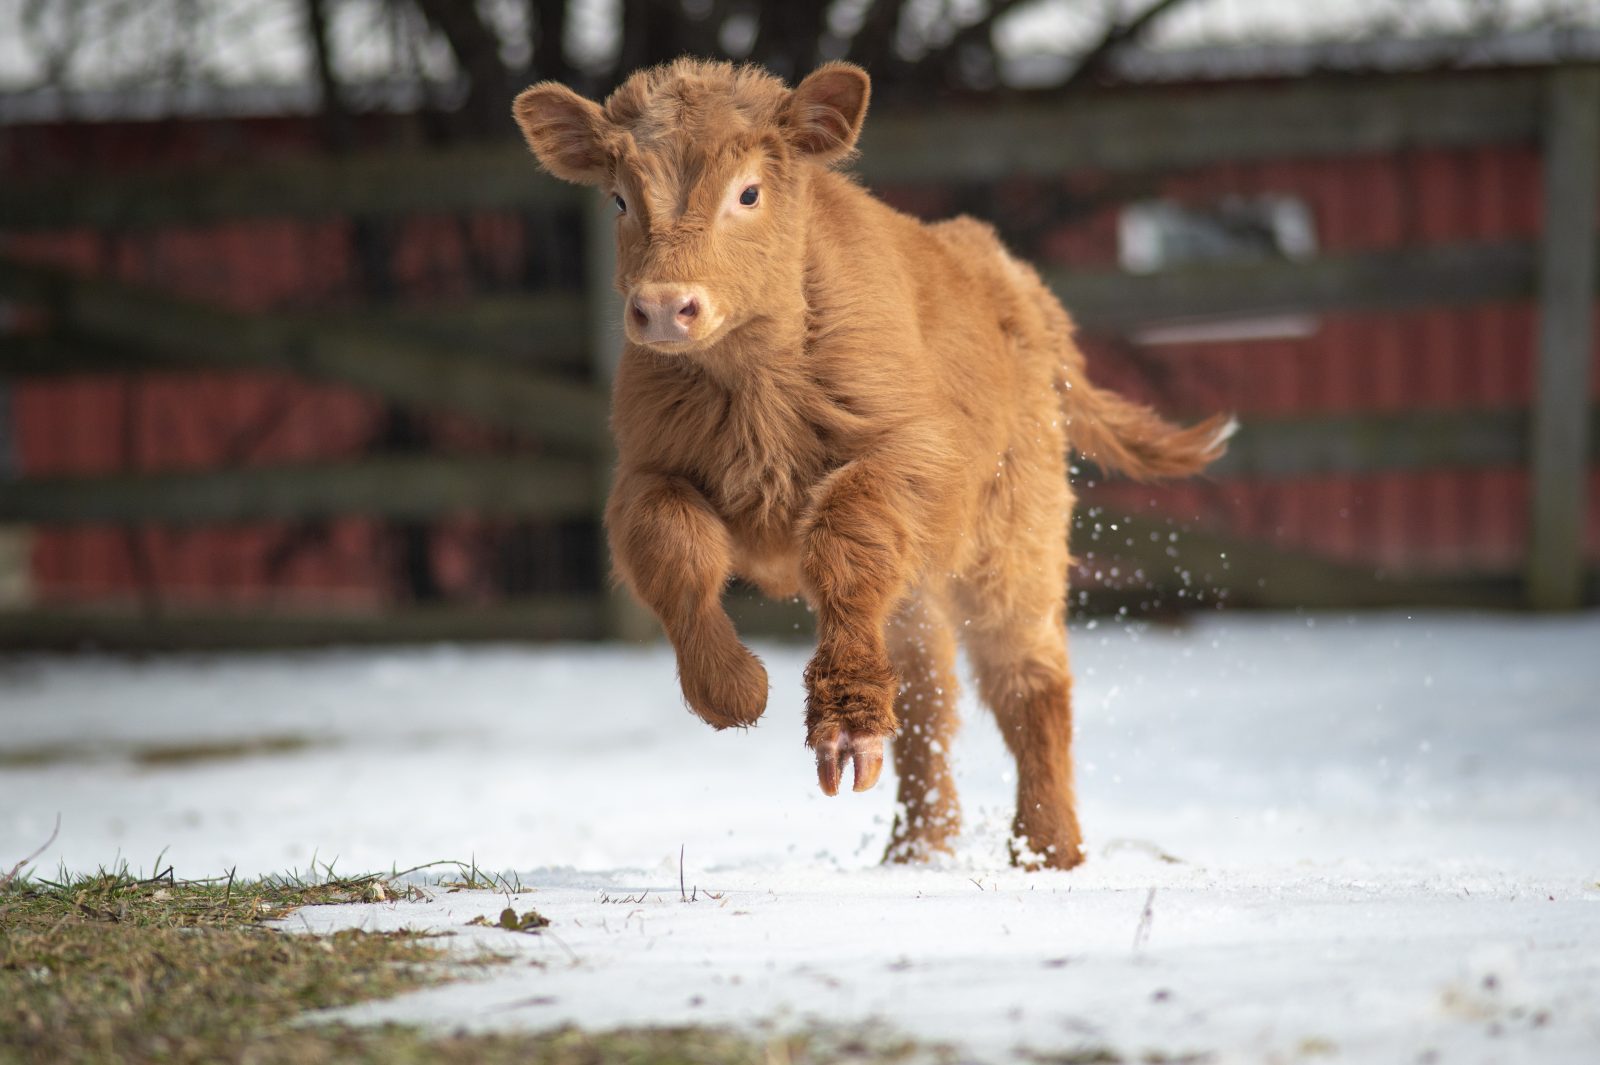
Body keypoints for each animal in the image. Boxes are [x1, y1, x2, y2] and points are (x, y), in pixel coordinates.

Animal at [512, 57, 1222, 869]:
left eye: (749, 192)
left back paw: (1047, 849)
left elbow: (845, 538)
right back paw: (917, 847)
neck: (756, 386)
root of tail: (1009, 277)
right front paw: (731, 688)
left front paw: (842, 726)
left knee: (1028, 679)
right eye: (621, 198)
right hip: (925, 587)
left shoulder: (906, 460)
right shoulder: (643, 471)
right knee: (927, 693)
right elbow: (674, 546)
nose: (664, 307)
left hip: (1016, 538)